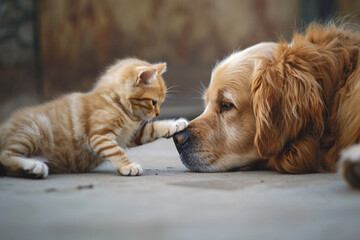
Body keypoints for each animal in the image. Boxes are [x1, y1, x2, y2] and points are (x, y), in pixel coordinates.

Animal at [0, 57, 187, 178]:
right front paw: (128, 166)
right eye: (154, 102)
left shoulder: (132, 135)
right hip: (33, 130)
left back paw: (34, 169)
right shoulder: (99, 136)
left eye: (160, 103)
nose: (158, 114)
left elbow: (152, 129)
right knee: (4, 155)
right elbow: (116, 151)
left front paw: (176, 124)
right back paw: (34, 165)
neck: (116, 103)